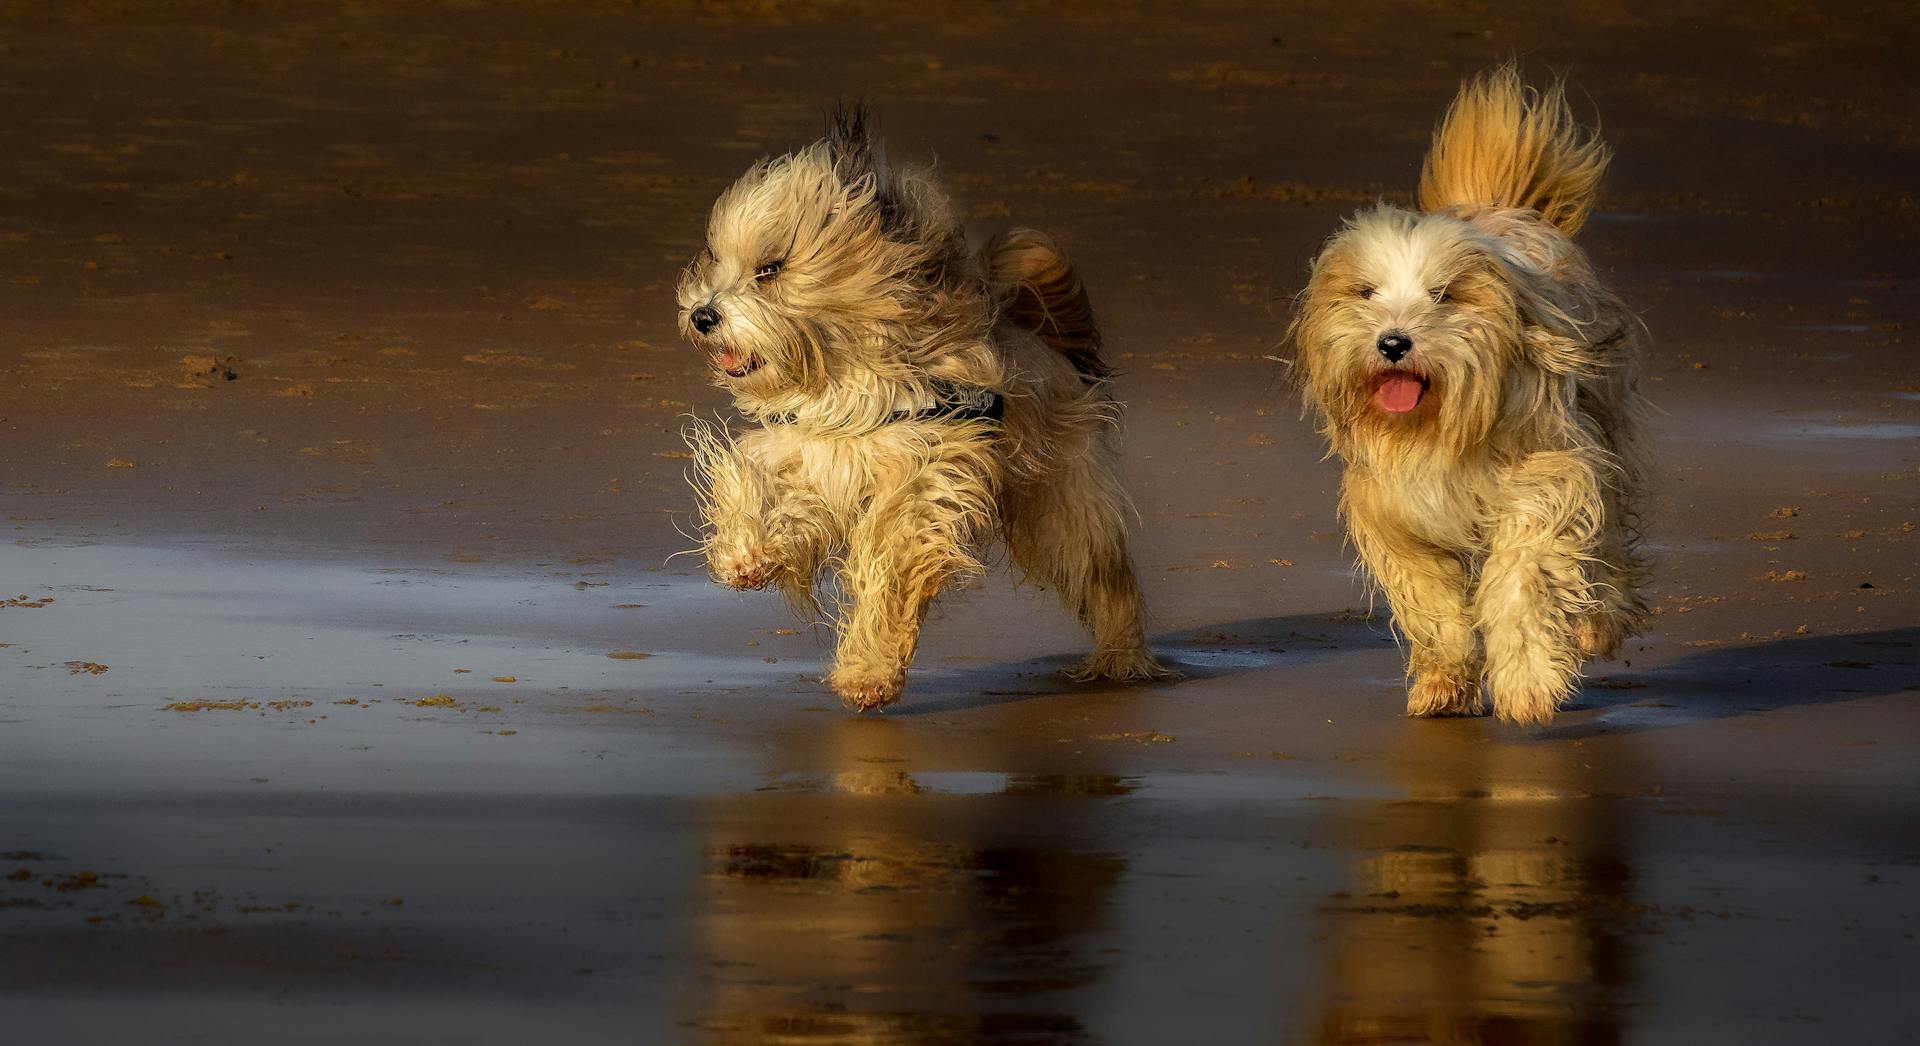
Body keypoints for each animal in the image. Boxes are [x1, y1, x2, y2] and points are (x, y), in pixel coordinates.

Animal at [675, 106, 1167, 710]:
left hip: (1062, 502)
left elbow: (890, 578)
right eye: (717, 263)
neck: (847, 375)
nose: (702, 315)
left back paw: (1121, 657)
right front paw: (745, 556)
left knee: (1103, 575)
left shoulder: (921, 485)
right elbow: (761, 490)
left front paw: (869, 673)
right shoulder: (813, 460)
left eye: (770, 269)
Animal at [1290, 61, 1651, 721]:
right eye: (1366, 293)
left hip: (1603, 435)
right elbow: (1430, 599)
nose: (1393, 343)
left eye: (1444, 294)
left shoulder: (1545, 480)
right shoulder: (1395, 510)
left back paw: (1598, 625)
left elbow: (1523, 579)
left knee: (1607, 547)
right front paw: (1445, 680)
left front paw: (1529, 681)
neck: (1437, 428)